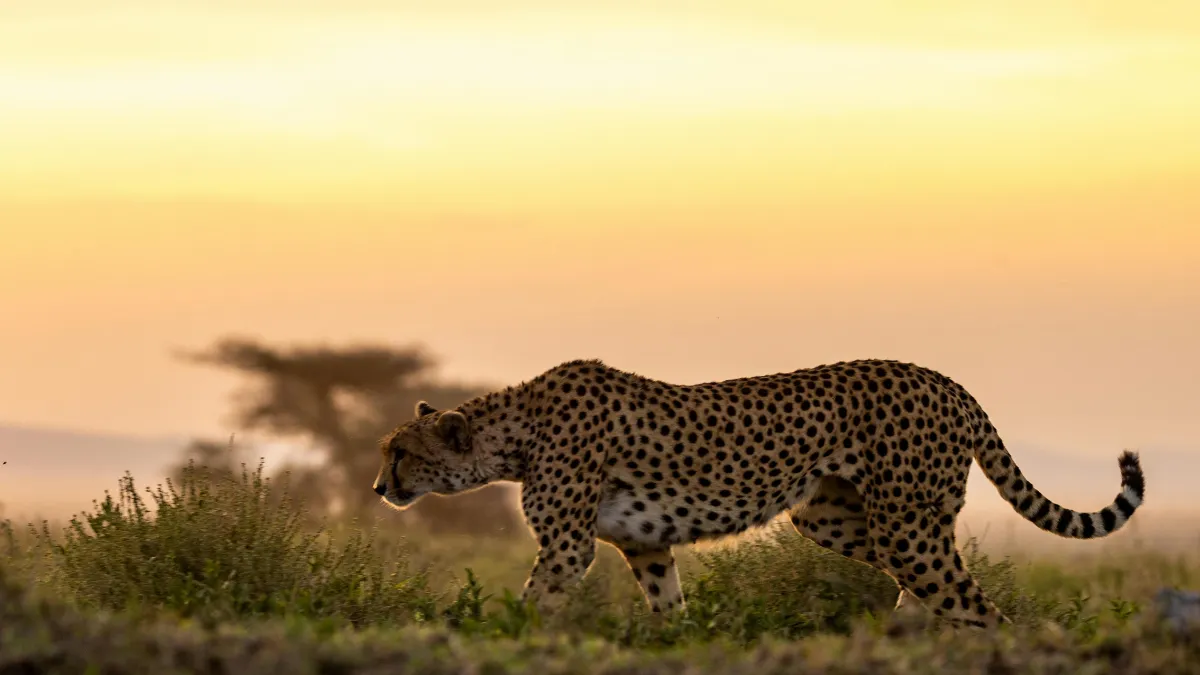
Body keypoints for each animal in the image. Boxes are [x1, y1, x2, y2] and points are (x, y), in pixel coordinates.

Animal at [373, 358, 1145, 628]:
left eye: (401, 453)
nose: (379, 487)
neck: (516, 431)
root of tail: (946, 379)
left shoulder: (567, 547)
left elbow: (530, 604)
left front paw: (487, 633)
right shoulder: (644, 545)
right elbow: (669, 608)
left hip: (902, 524)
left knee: (976, 604)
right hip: (835, 517)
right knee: (938, 586)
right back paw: (907, 634)